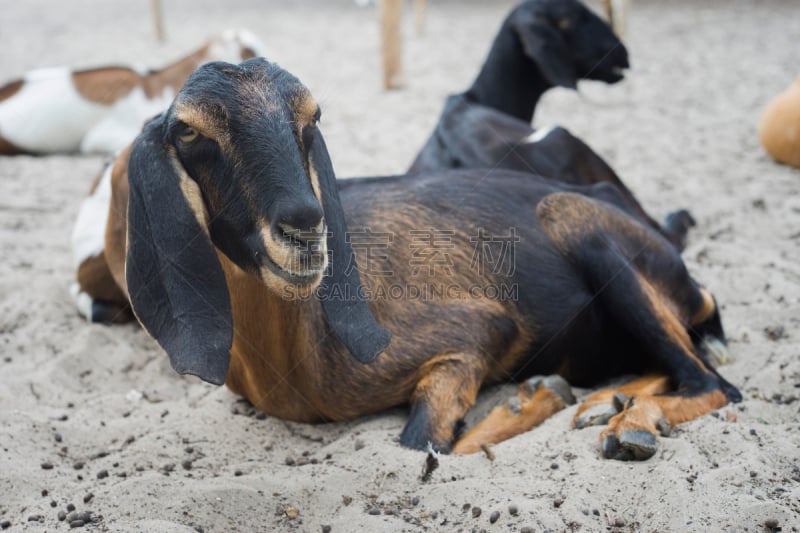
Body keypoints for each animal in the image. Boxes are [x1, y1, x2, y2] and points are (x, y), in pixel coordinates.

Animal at [72, 57, 740, 458]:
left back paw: (629, 424)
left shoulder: (473, 334)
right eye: (189, 131)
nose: (304, 226)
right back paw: (609, 404)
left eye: (311, 117)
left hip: (579, 226)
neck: (297, 352)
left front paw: (538, 398)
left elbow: (423, 443)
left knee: (715, 383)